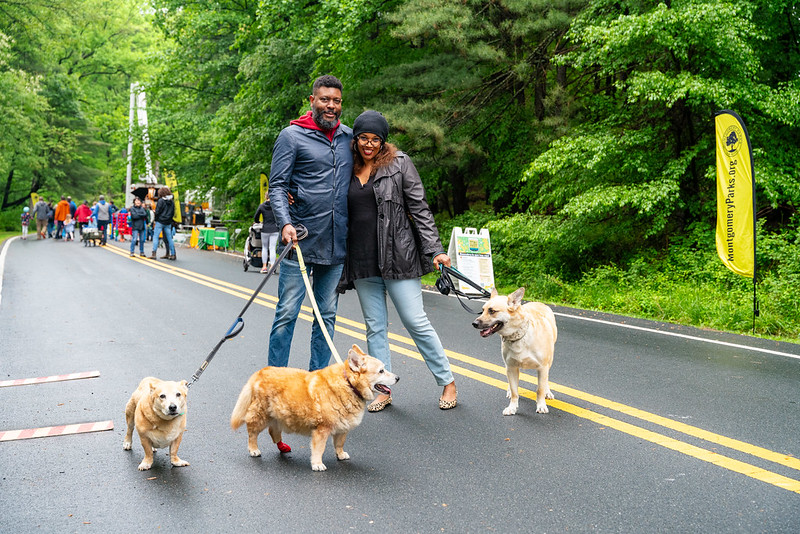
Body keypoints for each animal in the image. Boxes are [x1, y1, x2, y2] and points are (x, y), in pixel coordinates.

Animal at [230, 346, 398, 472]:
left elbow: (339, 444)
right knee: (252, 433)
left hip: (278, 414)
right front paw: (317, 464)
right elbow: (319, 449)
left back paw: (282, 446)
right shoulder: (322, 430)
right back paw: (253, 449)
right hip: (260, 415)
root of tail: (259, 372)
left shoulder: (342, 429)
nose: (398, 378)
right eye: (381, 371)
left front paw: (340, 454)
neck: (349, 384)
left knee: (273, 431)